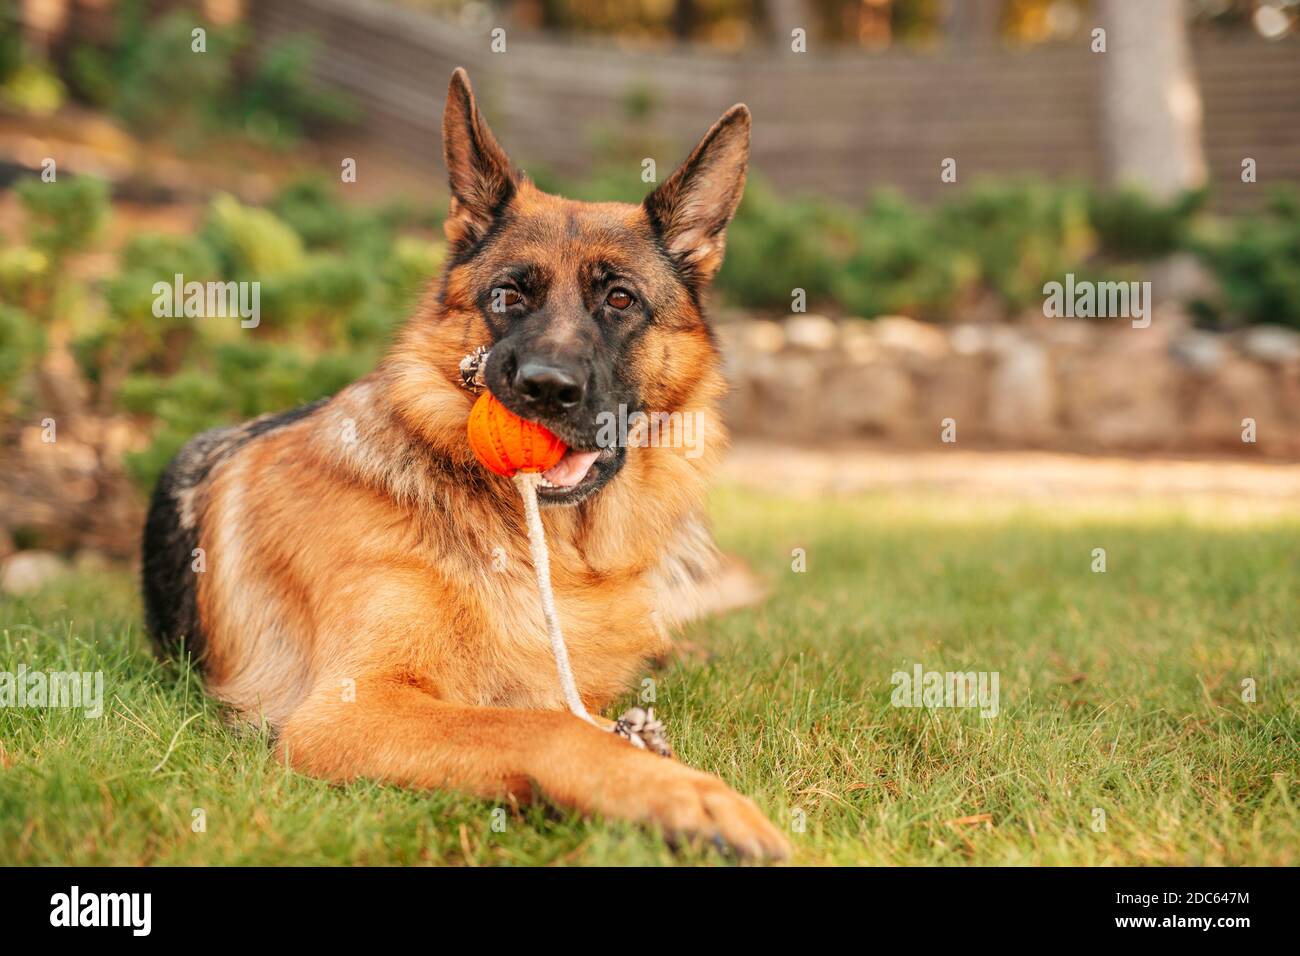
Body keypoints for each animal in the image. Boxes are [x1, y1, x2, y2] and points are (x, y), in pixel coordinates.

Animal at [143, 67, 790, 858]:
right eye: (508, 294)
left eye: (619, 298)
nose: (546, 388)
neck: (550, 553)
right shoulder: (348, 709)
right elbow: (544, 726)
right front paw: (683, 796)